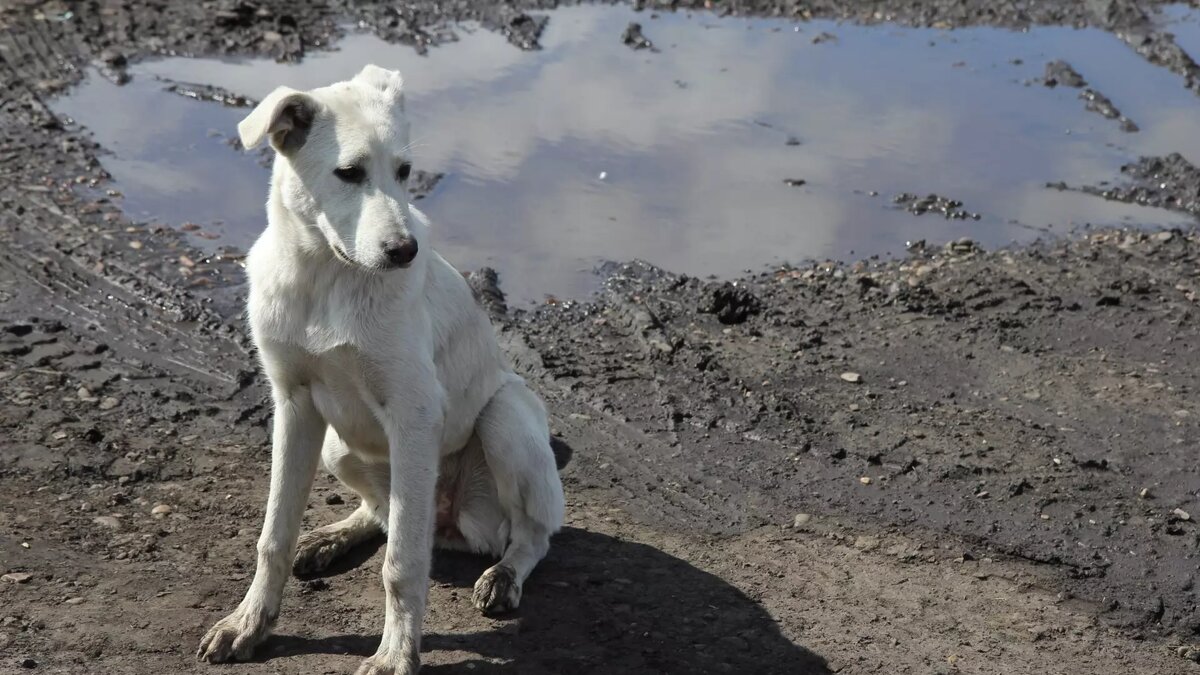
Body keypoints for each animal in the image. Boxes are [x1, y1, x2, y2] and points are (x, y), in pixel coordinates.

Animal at [194, 64, 568, 672]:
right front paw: (249, 623)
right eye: (349, 173)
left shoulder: (413, 413)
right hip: (336, 445)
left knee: (527, 535)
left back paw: (504, 575)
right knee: (381, 512)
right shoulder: (294, 404)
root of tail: (452, 523)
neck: (327, 274)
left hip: (505, 419)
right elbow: (273, 536)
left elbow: (402, 564)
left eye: (404, 171)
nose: (405, 251)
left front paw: (395, 655)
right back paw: (329, 539)